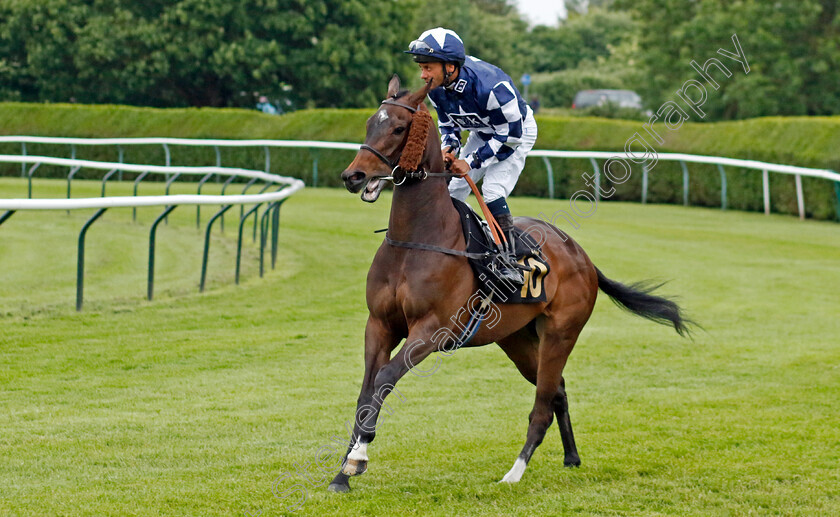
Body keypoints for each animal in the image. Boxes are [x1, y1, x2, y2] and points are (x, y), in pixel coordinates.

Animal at [328, 76, 688, 492]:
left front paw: (358, 457)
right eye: (371, 122)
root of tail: (583, 258)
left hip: (560, 334)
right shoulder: (380, 323)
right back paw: (571, 457)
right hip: (516, 338)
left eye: (399, 128)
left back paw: (514, 472)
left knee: (542, 405)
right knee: (557, 391)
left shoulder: (431, 330)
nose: (353, 176)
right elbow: (366, 389)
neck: (416, 239)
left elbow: (385, 379)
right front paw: (343, 471)